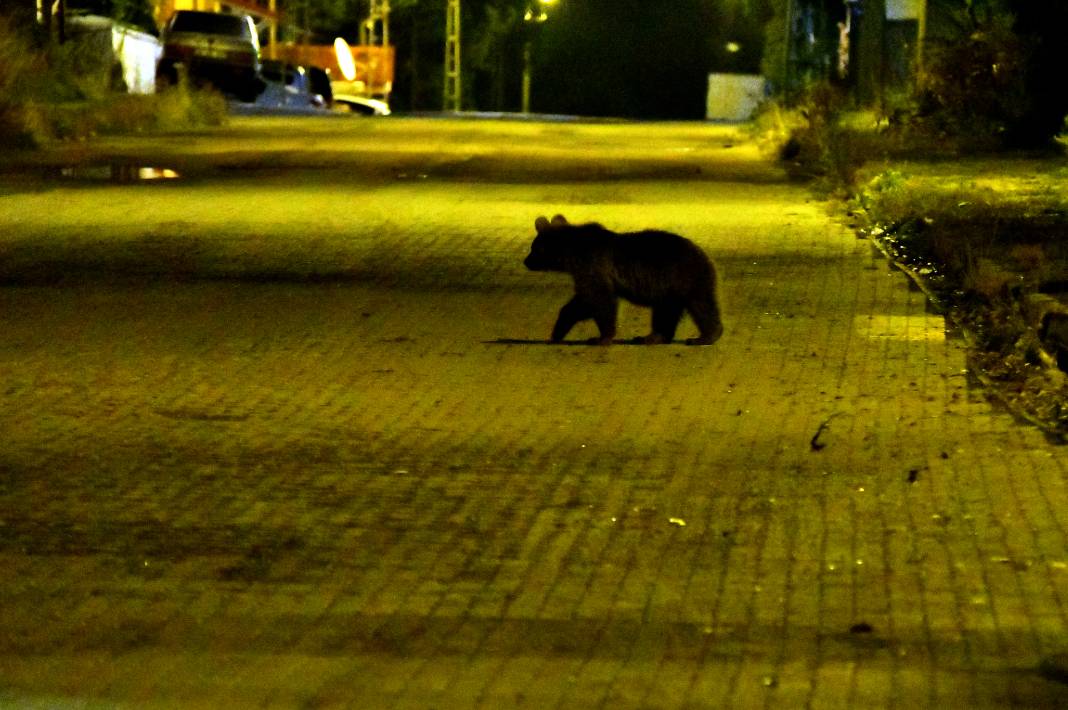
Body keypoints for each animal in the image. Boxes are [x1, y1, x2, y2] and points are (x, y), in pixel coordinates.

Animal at [525, 213, 726, 345]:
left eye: (534, 249)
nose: (526, 261)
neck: (571, 255)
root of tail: (707, 257)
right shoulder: (585, 272)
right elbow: (581, 302)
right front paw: (557, 333)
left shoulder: (593, 267)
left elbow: (599, 300)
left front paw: (600, 337)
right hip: (669, 288)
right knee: (667, 311)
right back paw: (652, 337)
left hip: (684, 278)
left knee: (701, 306)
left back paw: (704, 336)